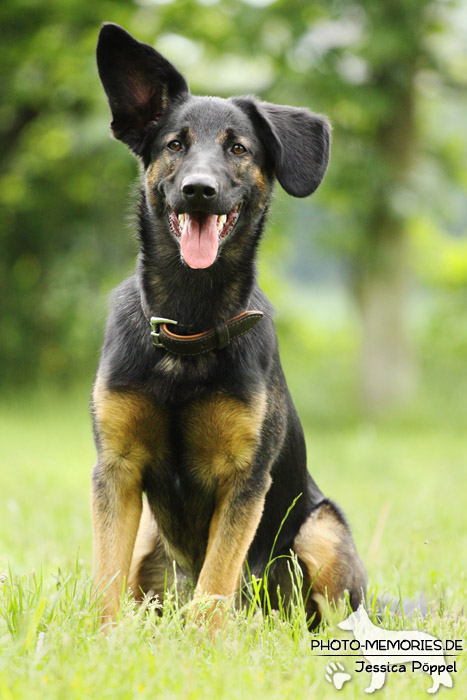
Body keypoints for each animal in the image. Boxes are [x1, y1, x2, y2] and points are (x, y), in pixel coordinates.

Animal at [91, 24, 368, 632]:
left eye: (238, 148)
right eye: (175, 145)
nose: (199, 189)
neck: (189, 325)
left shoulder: (244, 480)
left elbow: (216, 582)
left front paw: (204, 641)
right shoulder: (117, 469)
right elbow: (105, 580)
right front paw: (103, 638)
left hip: (323, 529)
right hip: (150, 539)